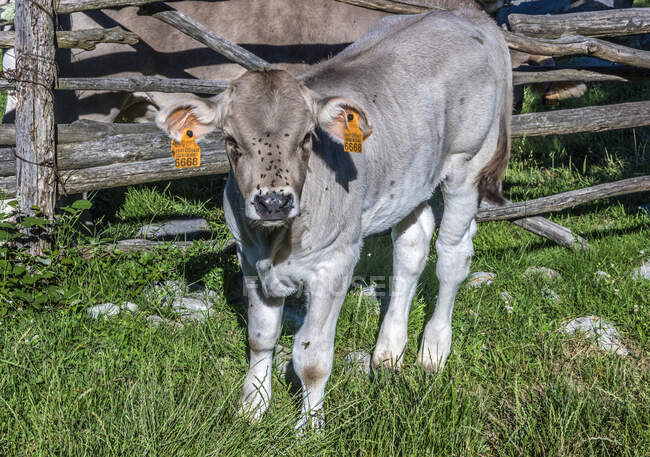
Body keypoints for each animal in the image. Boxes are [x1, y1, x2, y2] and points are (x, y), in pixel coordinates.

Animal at [156, 7, 512, 430]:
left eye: (307, 138)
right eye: (231, 141)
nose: (273, 202)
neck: (278, 239)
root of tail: (466, 14)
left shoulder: (336, 263)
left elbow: (311, 357)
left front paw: (310, 427)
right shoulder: (249, 258)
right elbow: (261, 337)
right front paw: (253, 406)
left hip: (467, 163)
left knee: (452, 257)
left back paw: (434, 350)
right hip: (410, 179)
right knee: (411, 250)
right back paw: (389, 351)